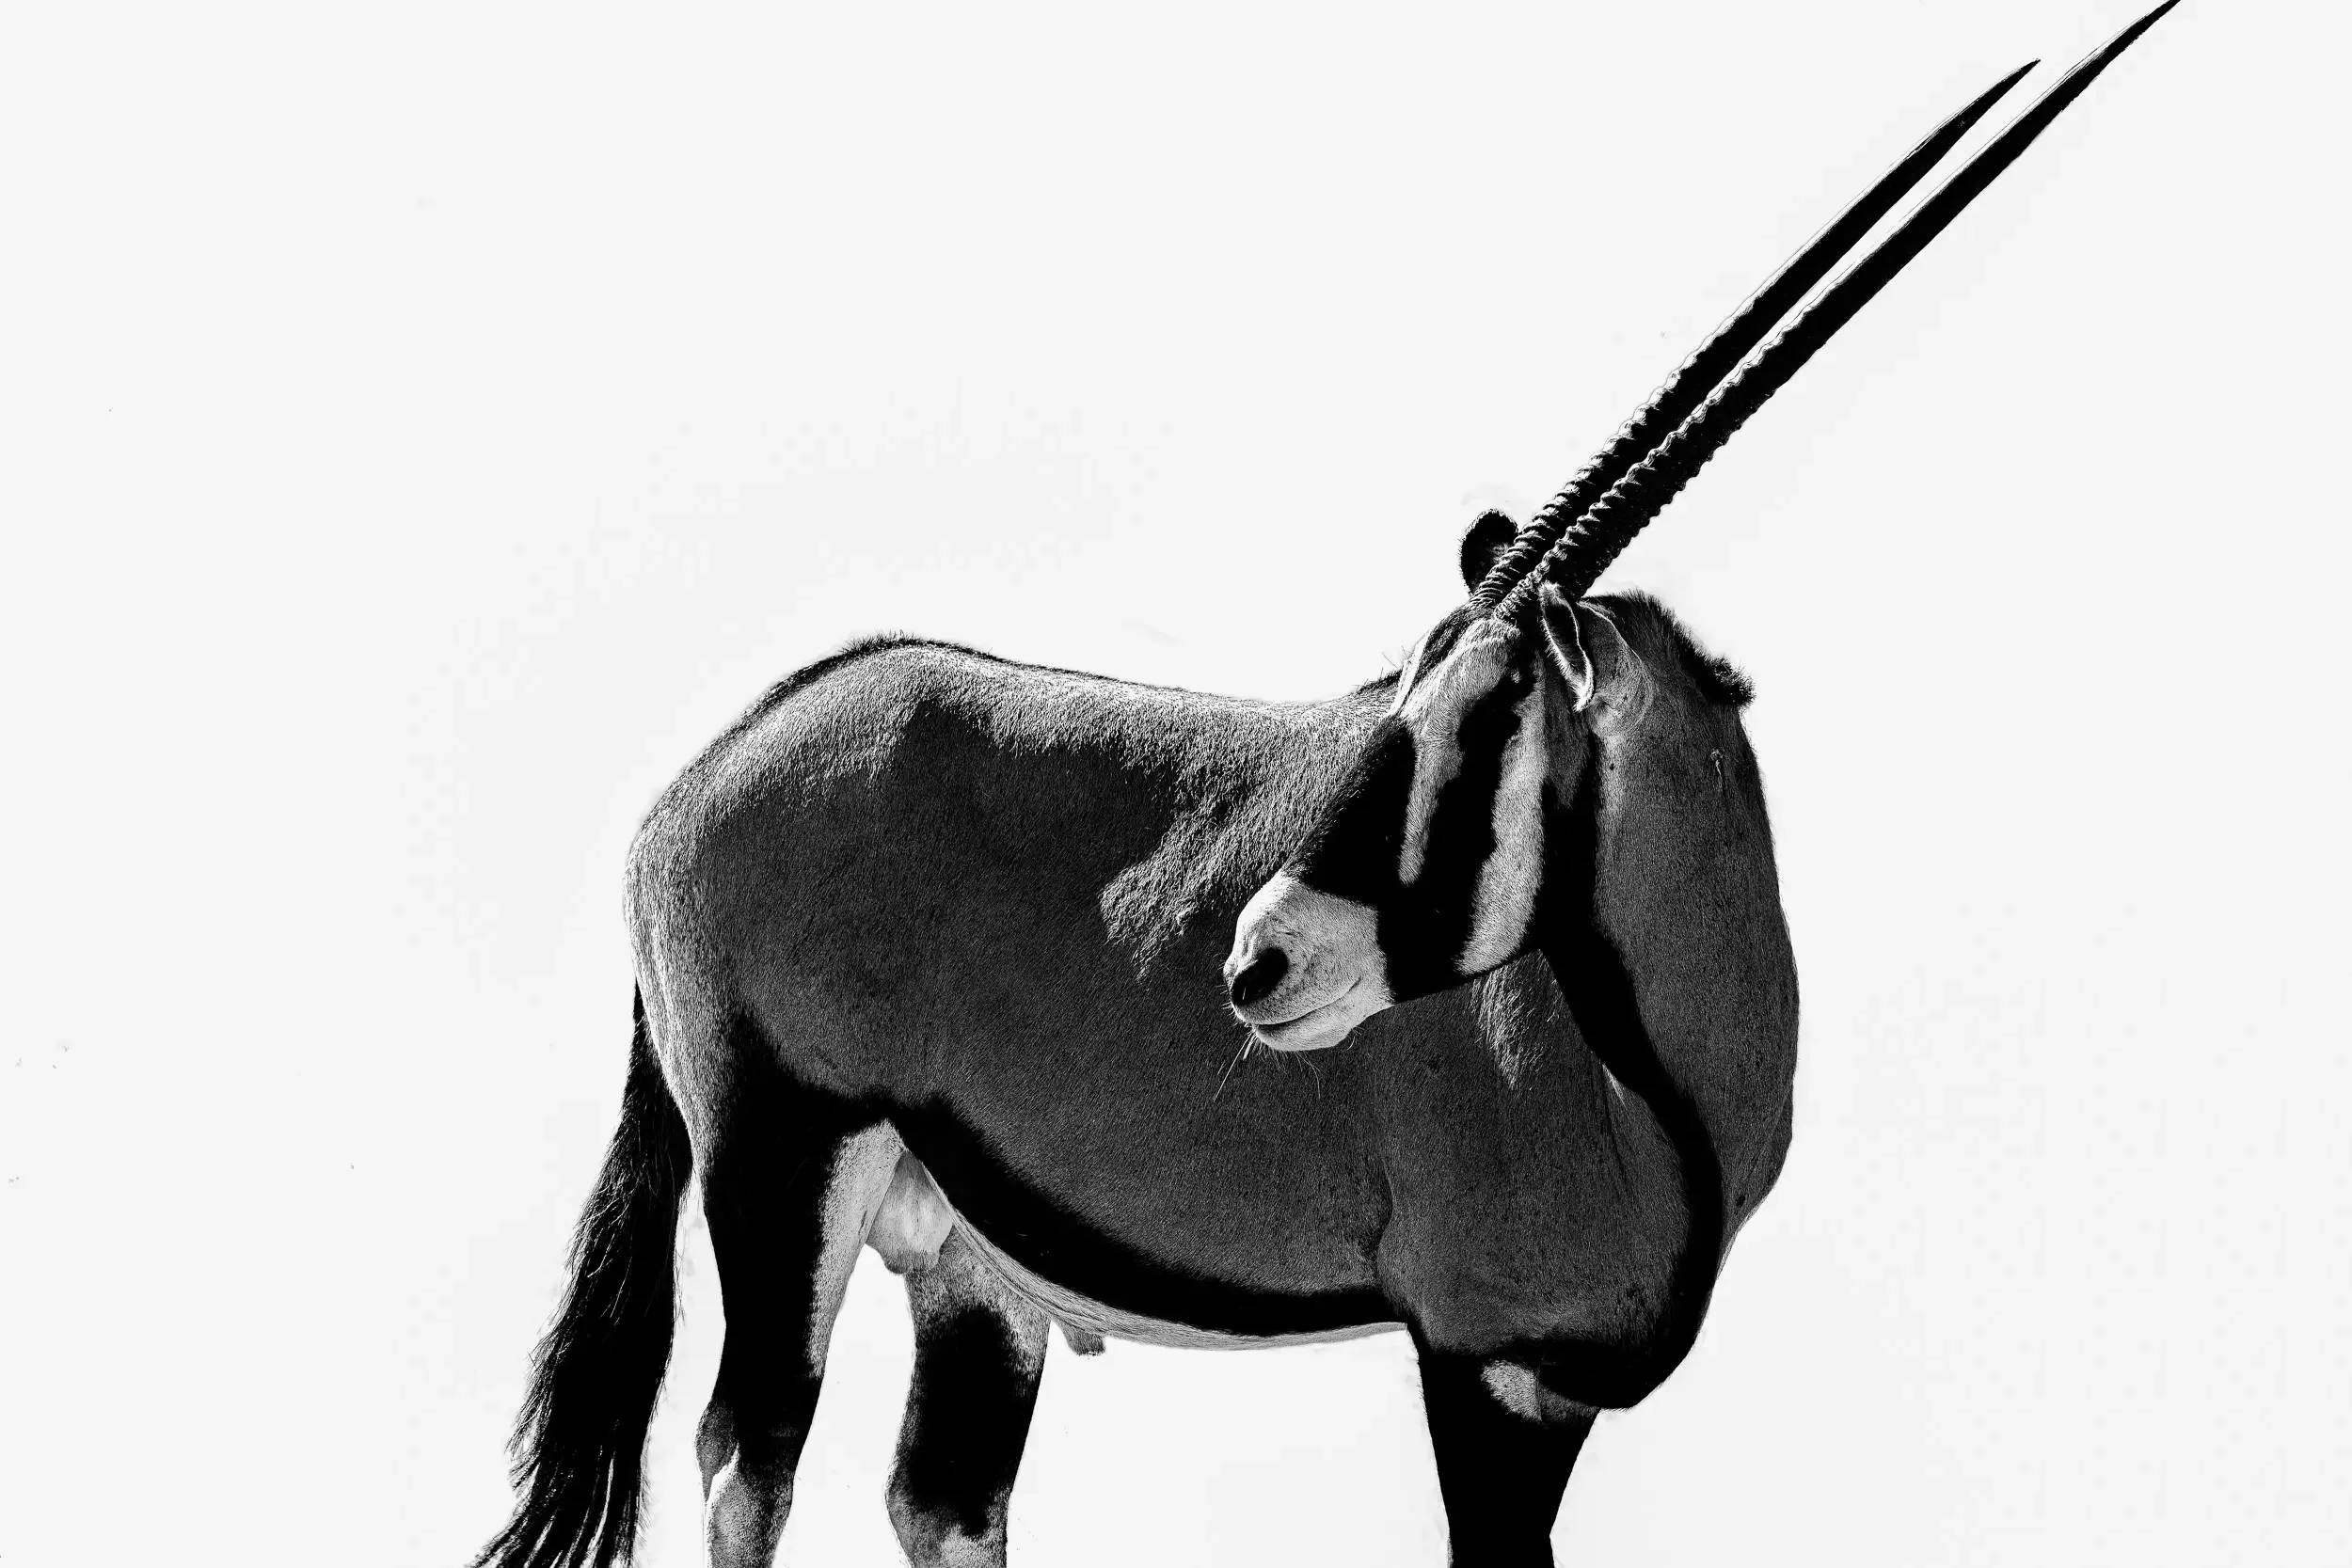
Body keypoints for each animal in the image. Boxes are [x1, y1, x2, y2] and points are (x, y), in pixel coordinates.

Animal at [474, 8, 2173, 1566]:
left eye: (1491, 710)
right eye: (1401, 696)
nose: (1256, 958)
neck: (1658, 1074)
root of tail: (708, 769)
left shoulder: (1547, 1386)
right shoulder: (1485, 1362)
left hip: (965, 1266)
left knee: (939, 1496)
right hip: (780, 1161)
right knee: (743, 1458)